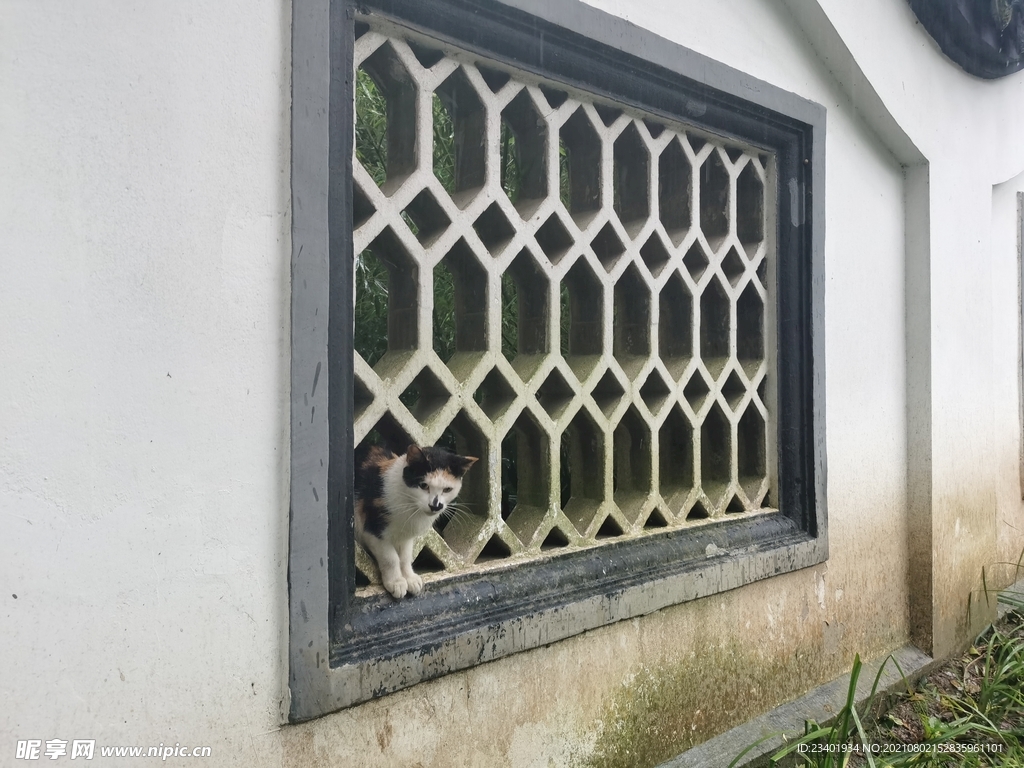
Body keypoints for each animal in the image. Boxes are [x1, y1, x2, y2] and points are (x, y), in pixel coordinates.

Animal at [354, 444, 477, 602]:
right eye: (424, 485)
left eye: (447, 489)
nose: (435, 505)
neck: (410, 505)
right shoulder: (373, 530)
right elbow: (390, 557)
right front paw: (396, 582)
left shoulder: (405, 536)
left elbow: (405, 556)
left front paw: (409, 578)